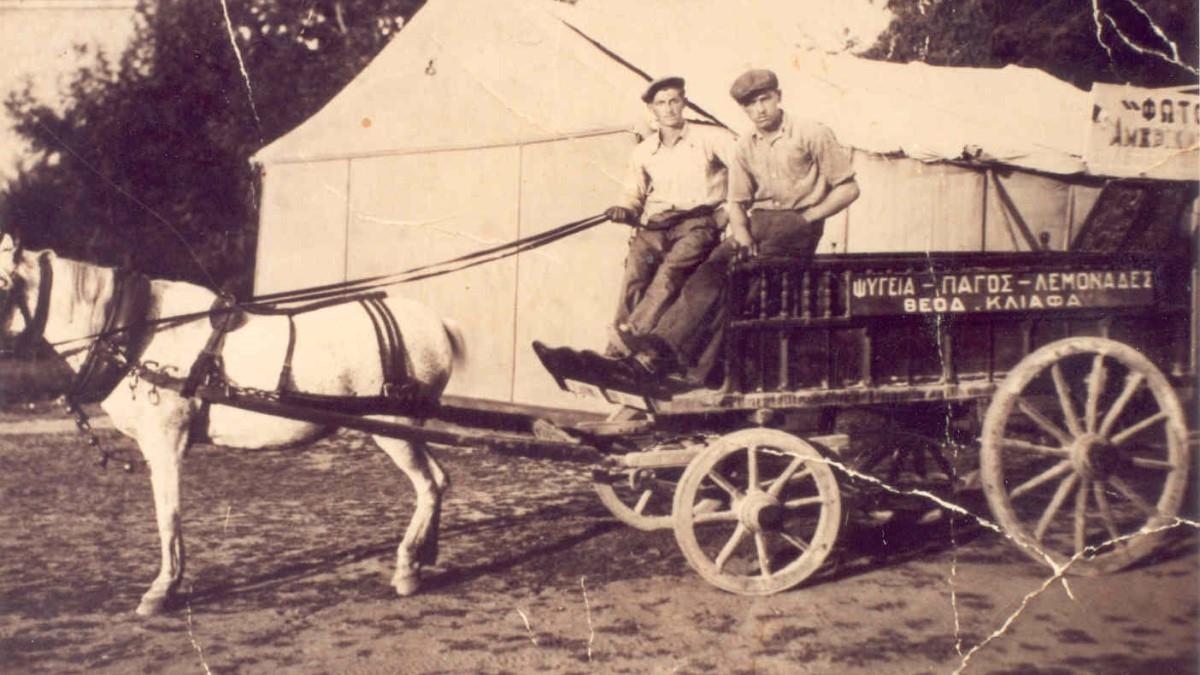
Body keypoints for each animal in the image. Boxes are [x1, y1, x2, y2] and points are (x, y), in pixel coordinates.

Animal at [0, 233, 463, 614]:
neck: (134, 335)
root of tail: (438, 325)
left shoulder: (165, 445)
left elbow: (168, 516)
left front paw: (162, 590)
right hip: (408, 429)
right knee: (439, 480)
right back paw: (424, 555)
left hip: (392, 426)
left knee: (428, 485)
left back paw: (407, 568)